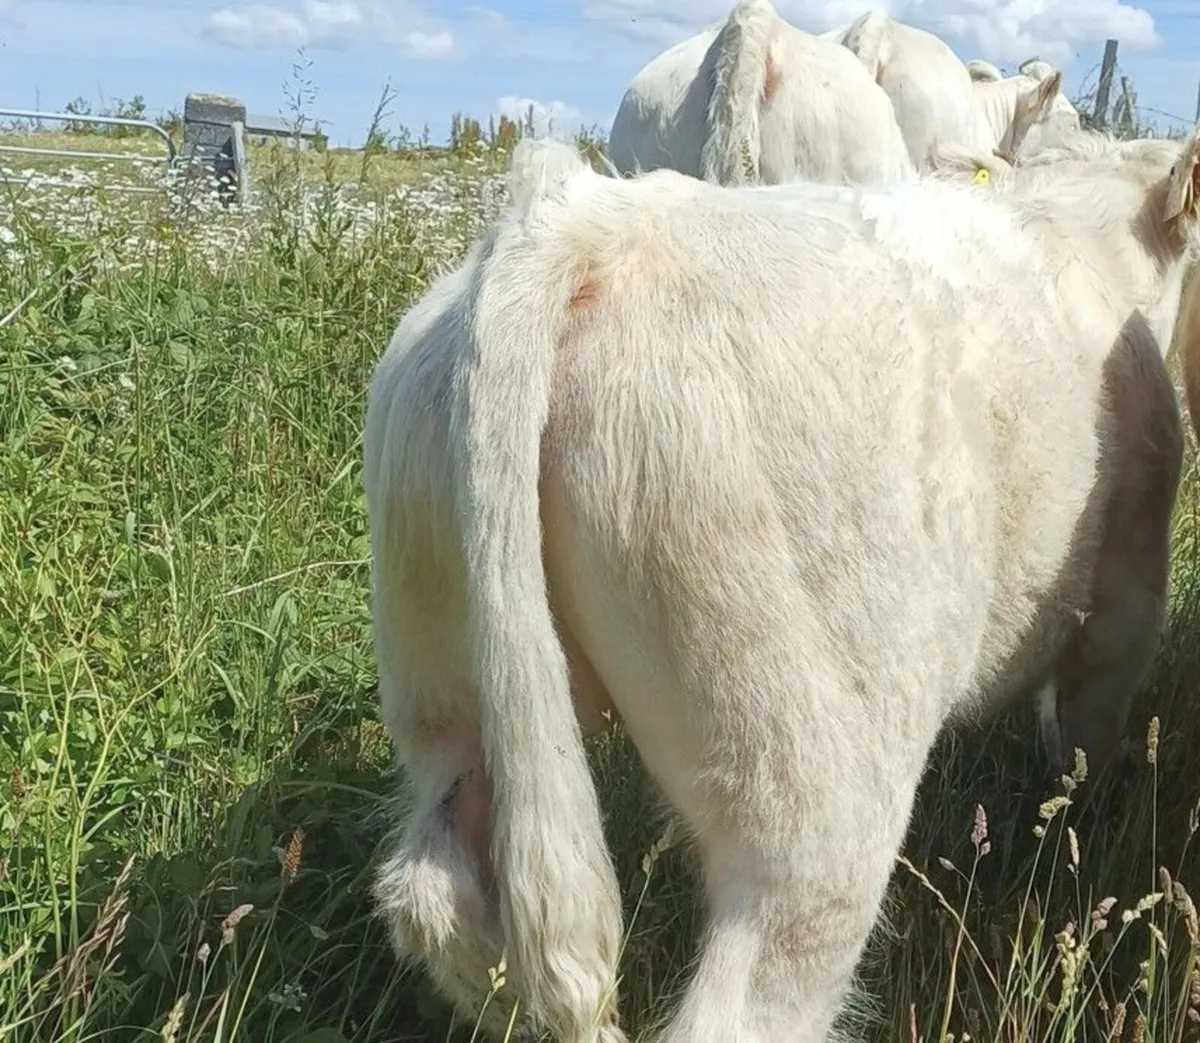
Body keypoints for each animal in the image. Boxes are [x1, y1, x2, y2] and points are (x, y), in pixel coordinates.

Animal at [363, 124, 1200, 1043]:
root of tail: (590, 223)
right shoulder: (1127, 588)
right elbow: (1085, 734)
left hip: (447, 674)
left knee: (437, 888)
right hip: (808, 784)